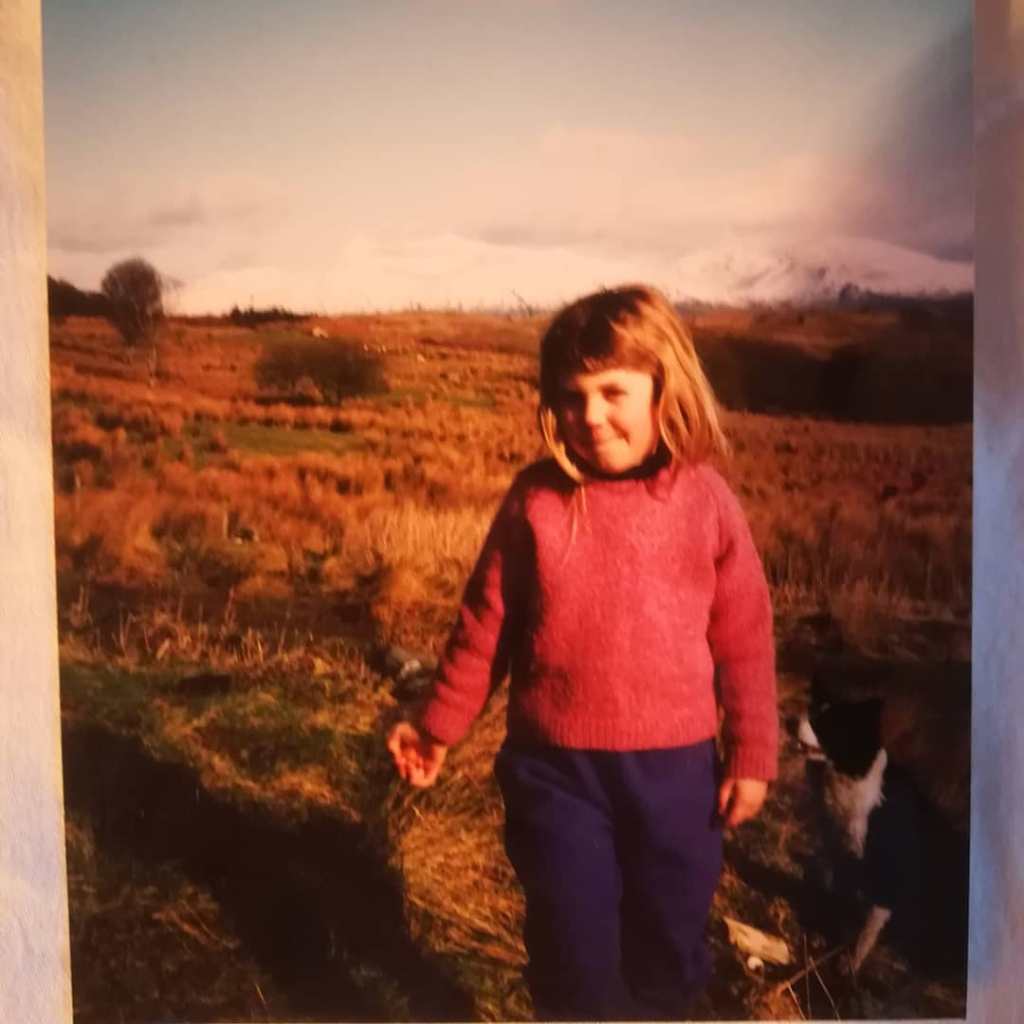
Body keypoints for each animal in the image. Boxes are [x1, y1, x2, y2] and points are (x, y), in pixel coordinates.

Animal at [798, 663, 966, 974]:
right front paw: (821, 937)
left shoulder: (884, 874)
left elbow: (867, 927)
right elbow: (837, 900)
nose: (791, 721)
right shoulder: (840, 854)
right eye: (813, 710)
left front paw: (849, 962)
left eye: (829, 724)